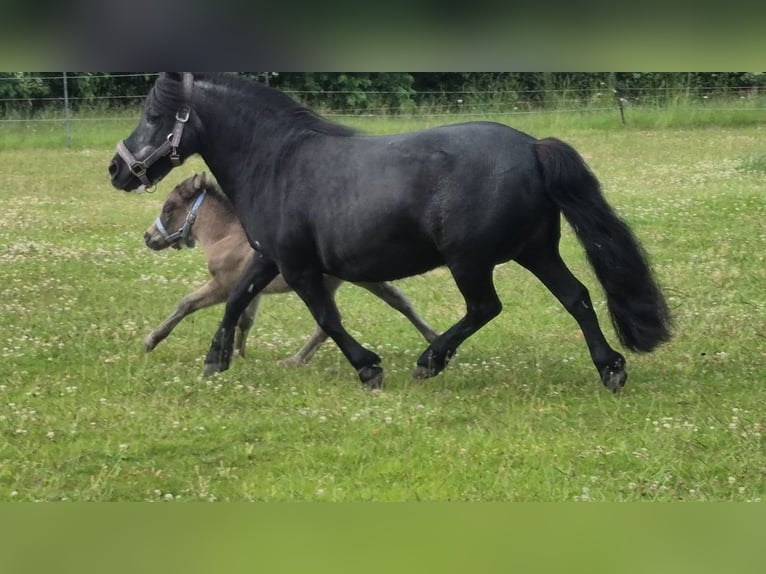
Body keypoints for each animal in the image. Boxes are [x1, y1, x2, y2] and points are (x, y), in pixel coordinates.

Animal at [143, 172, 438, 364]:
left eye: (169, 208)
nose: (148, 237)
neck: (224, 235)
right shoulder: (250, 288)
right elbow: (245, 320)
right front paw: (239, 355)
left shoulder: (222, 285)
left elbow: (187, 303)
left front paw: (151, 340)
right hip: (360, 278)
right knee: (398, 301)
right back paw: (433, 337)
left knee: (328, 321)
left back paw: (294, 360)